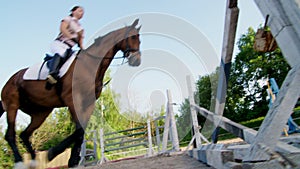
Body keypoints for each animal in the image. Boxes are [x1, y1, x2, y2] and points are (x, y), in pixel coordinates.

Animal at [0, 18, 142, 168]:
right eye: (133, 37)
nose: (136, 60)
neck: (90, 65)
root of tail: (10, 80)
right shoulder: (73, 101)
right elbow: (79, 130)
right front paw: (54, 152)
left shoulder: (89, 103)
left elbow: (81, 131)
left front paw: (72, 159)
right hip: (12, 106)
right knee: (10, 135)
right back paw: (19, 161)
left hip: (40, 112)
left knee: (24, 134)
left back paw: (33, 160)